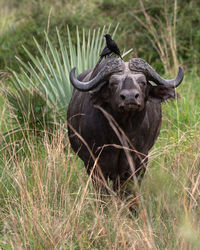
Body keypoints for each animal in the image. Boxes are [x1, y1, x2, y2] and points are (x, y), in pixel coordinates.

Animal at [67, 56, 183, 199]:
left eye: (142, 82)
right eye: (113, 83)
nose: (130, 97)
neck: (121, 134)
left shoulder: (139, 162)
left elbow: (128, 193)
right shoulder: (94, 164)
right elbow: (103, 194)